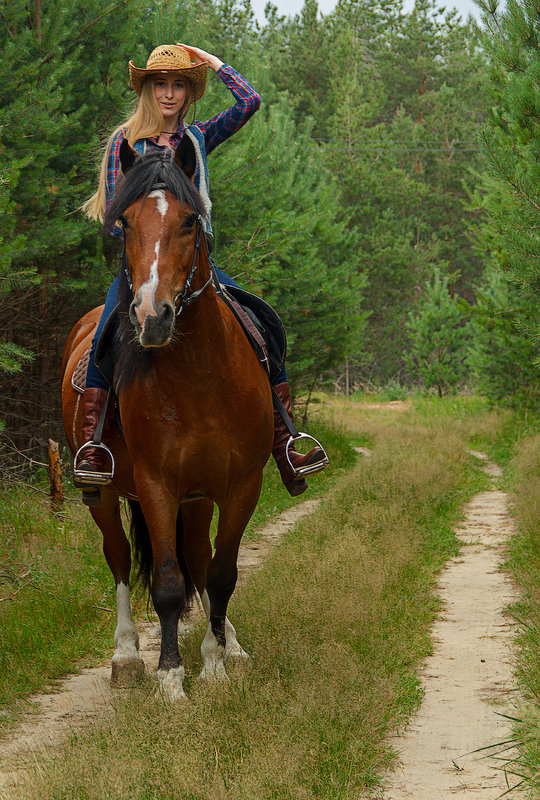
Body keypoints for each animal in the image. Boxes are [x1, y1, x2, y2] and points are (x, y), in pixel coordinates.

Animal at [61, 138, 274, 700]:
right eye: (125, 222)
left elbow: (220, 573)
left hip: (196, 498)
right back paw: (127, 656)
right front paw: (171, 678)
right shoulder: (156, 484)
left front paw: (216, 663)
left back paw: (228, 646)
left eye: (189, 221)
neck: (199, 377)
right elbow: (168, 584)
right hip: (104, 492)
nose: (152, 317)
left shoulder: (241, 483)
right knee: (117, 555)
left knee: (200, 557)